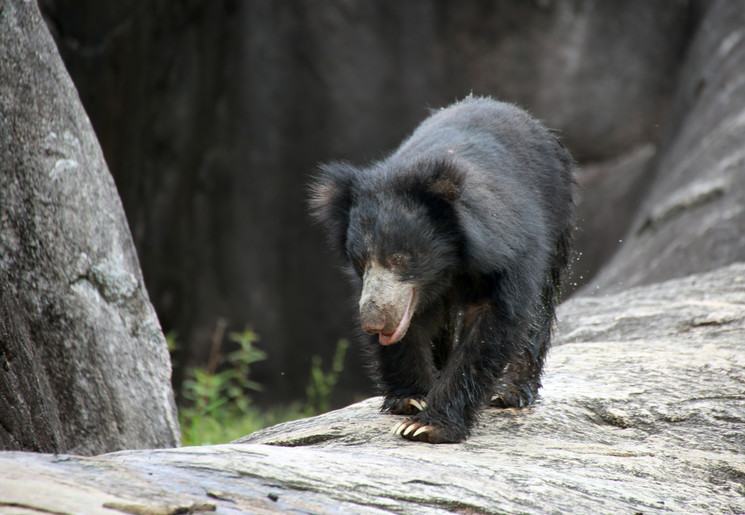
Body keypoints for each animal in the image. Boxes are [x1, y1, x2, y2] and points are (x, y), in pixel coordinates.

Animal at [308, 97, 576, 444]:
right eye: (360, 260)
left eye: (400, 259)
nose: (373, 321)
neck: (449, 265)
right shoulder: (400, 294)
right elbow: (414, 328)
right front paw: (410, 399)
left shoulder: (507, 253)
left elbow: (490, 330)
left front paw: (428, 425)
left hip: (558, 217)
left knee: (541, 308)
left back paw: (511, 393)